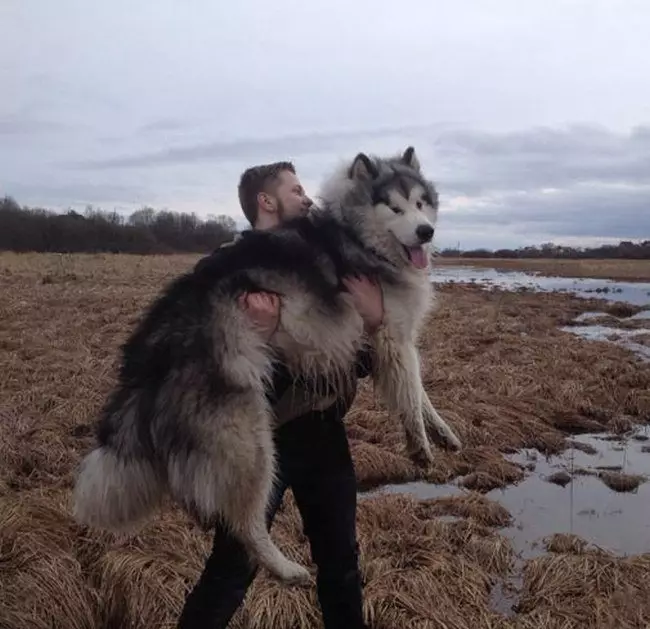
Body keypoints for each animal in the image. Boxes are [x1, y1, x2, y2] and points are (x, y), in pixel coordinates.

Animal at [72, 146, 460, 584]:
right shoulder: (391, 335)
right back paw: (285, 568)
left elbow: (421, 393)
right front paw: (420, 445)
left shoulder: (391, 341)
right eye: (394, 208)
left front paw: (442, 432)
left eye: (420, 203)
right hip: (249, 440)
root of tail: (151, 347)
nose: (426, 231)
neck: (357, 236)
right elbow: (410, 393)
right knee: (244, 525)